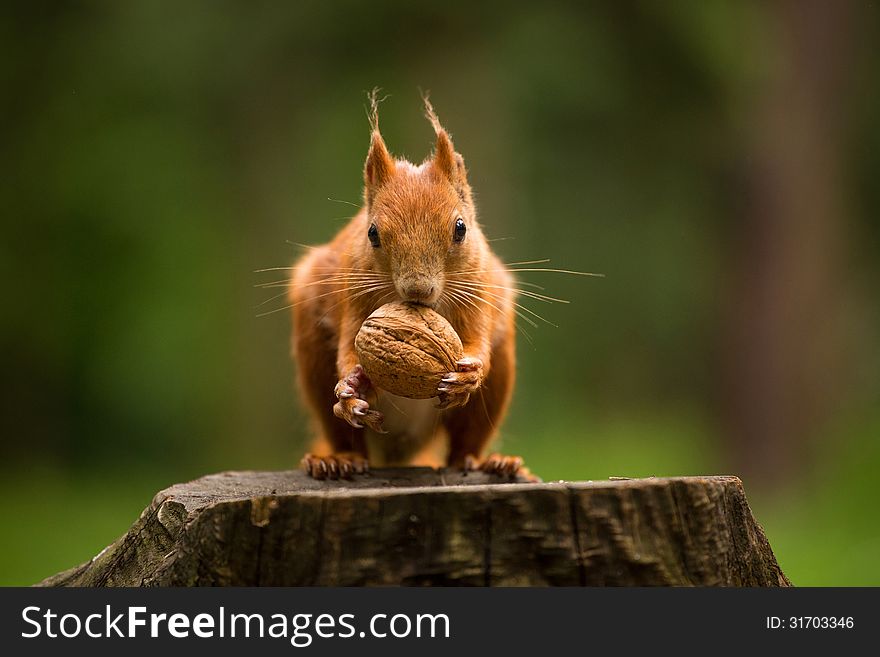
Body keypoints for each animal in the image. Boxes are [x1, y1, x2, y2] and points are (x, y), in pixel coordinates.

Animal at [288, 92, 524, 480]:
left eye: (461, 228)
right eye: (372, 233)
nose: (417, 290)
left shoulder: (479, 291)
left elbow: (478, 341)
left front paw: (471, 373)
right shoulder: (354, 298)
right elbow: (348, 349)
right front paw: (351, 386)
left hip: (499, 378)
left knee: (465, 442)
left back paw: (488, 461)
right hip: (313, 358)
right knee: (343, 433)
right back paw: (335, 459)